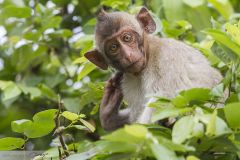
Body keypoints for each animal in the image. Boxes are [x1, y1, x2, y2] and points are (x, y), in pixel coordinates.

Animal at [85, 6, 223, 131]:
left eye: (127, 38)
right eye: (113, 47)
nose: (128, 55)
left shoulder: (167, 56)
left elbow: (168, 97)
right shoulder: (126, 80)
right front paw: (109, 111)